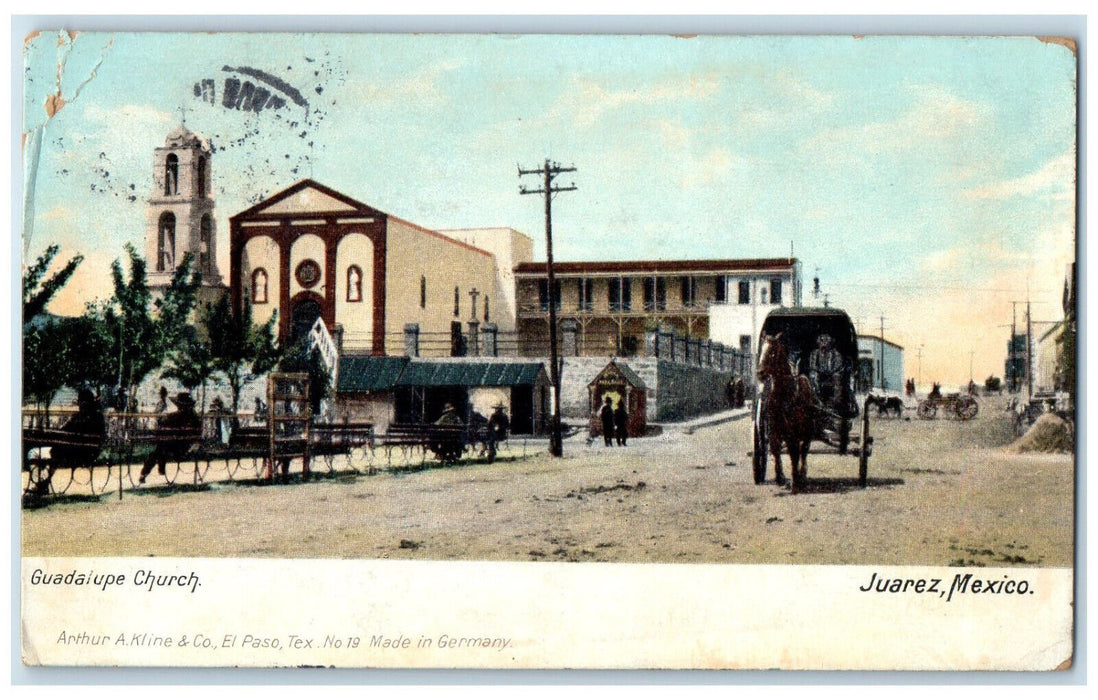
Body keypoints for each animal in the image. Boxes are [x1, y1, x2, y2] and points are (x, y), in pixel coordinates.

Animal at [759, 335, 821, 493]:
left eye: (773, 352)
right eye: (761, 350)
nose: (759, 373)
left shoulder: (792, 432)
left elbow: (794, 453)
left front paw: (795, 481)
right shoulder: (774, 431)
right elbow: (775, 451)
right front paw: (780, 477)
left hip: (807, 430)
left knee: (803, 450)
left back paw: (802, 475)